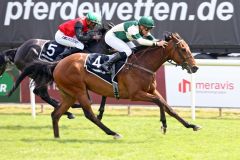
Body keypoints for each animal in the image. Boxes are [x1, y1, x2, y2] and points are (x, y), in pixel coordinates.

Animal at [8, 32, 201, 139]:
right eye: (183, 49)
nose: (195, 67)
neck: (142, 64)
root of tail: (58, 63)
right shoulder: (135, 94)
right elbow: (160, 103)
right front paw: (164, 124)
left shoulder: (152, 90)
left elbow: (169, 107)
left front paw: (190, 125)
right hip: (78, 90)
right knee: (88, 114)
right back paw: (113, 132)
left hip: (68, 94)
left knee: (55, 114)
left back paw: (57, 137)